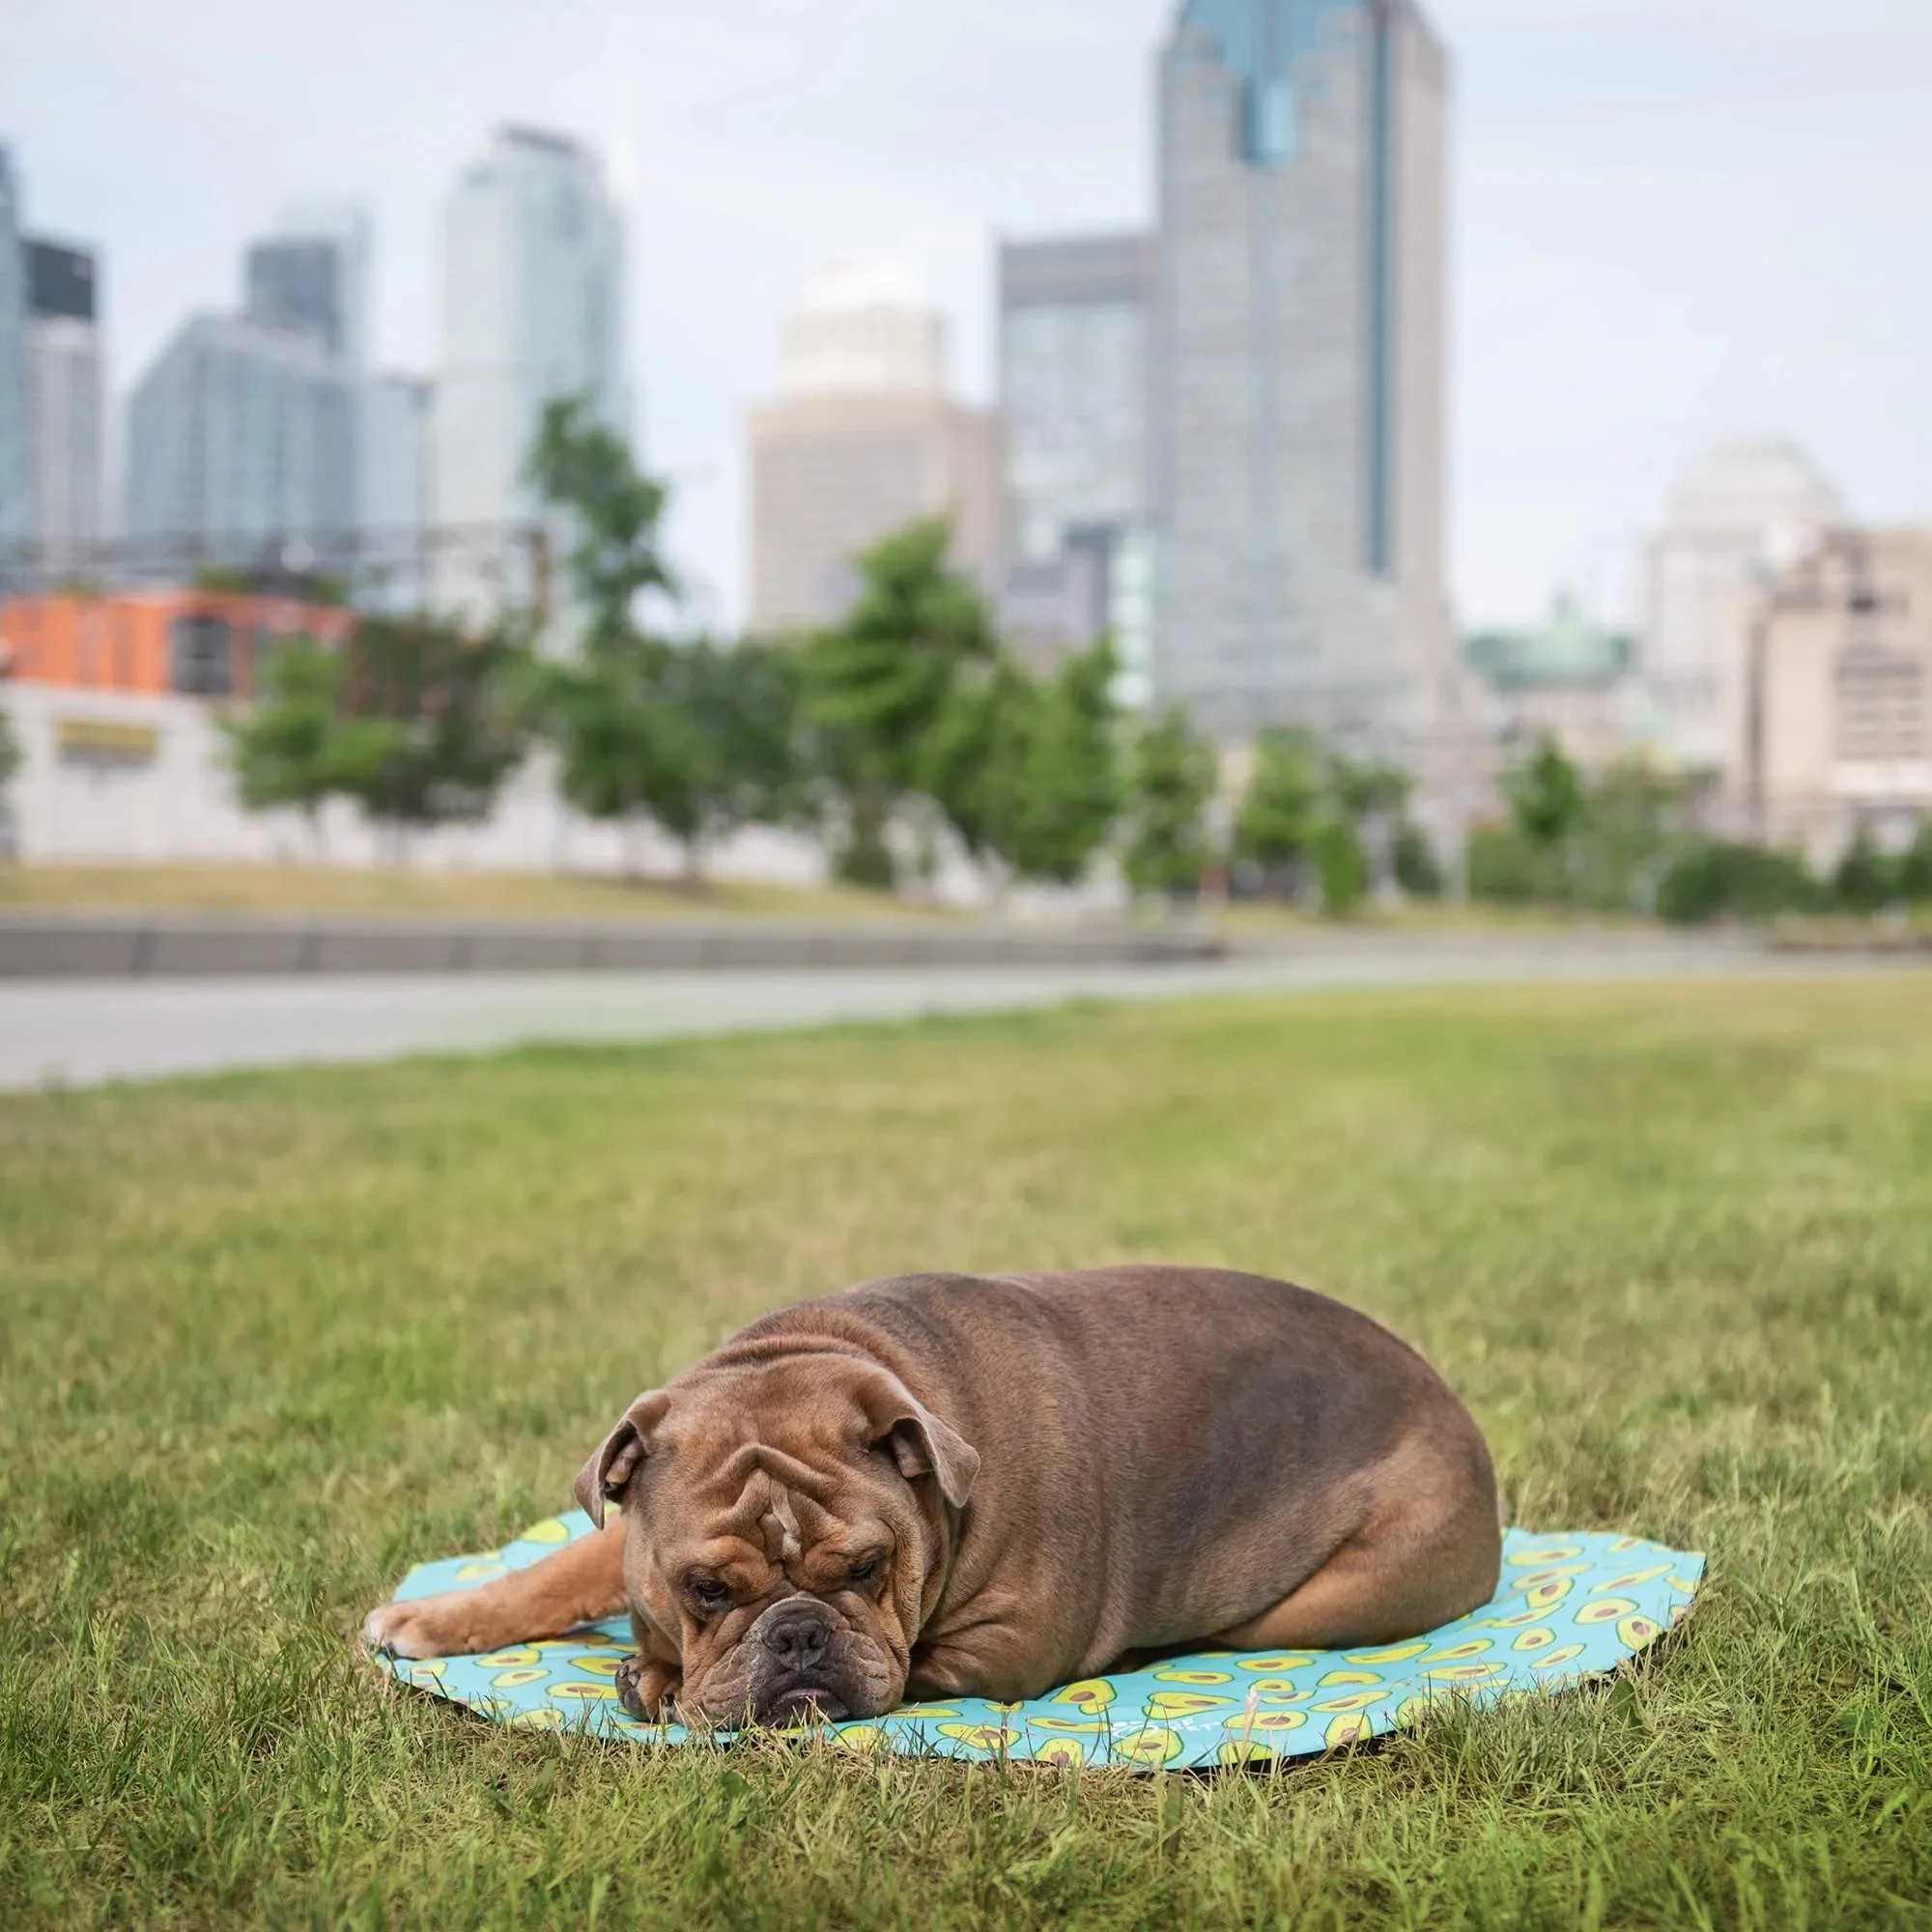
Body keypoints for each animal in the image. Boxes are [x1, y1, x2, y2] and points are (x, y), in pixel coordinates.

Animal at [365, 1260, 1507, 1731]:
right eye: (705, 1589)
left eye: (870, 1567)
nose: (798, 1633)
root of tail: (1460, 1412)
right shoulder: (632, 1524)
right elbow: (564, 1562)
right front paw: (433, 1615)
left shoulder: (1003, 1643)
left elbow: (911, 1667)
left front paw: (656, 1680)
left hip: (1324, 1597)